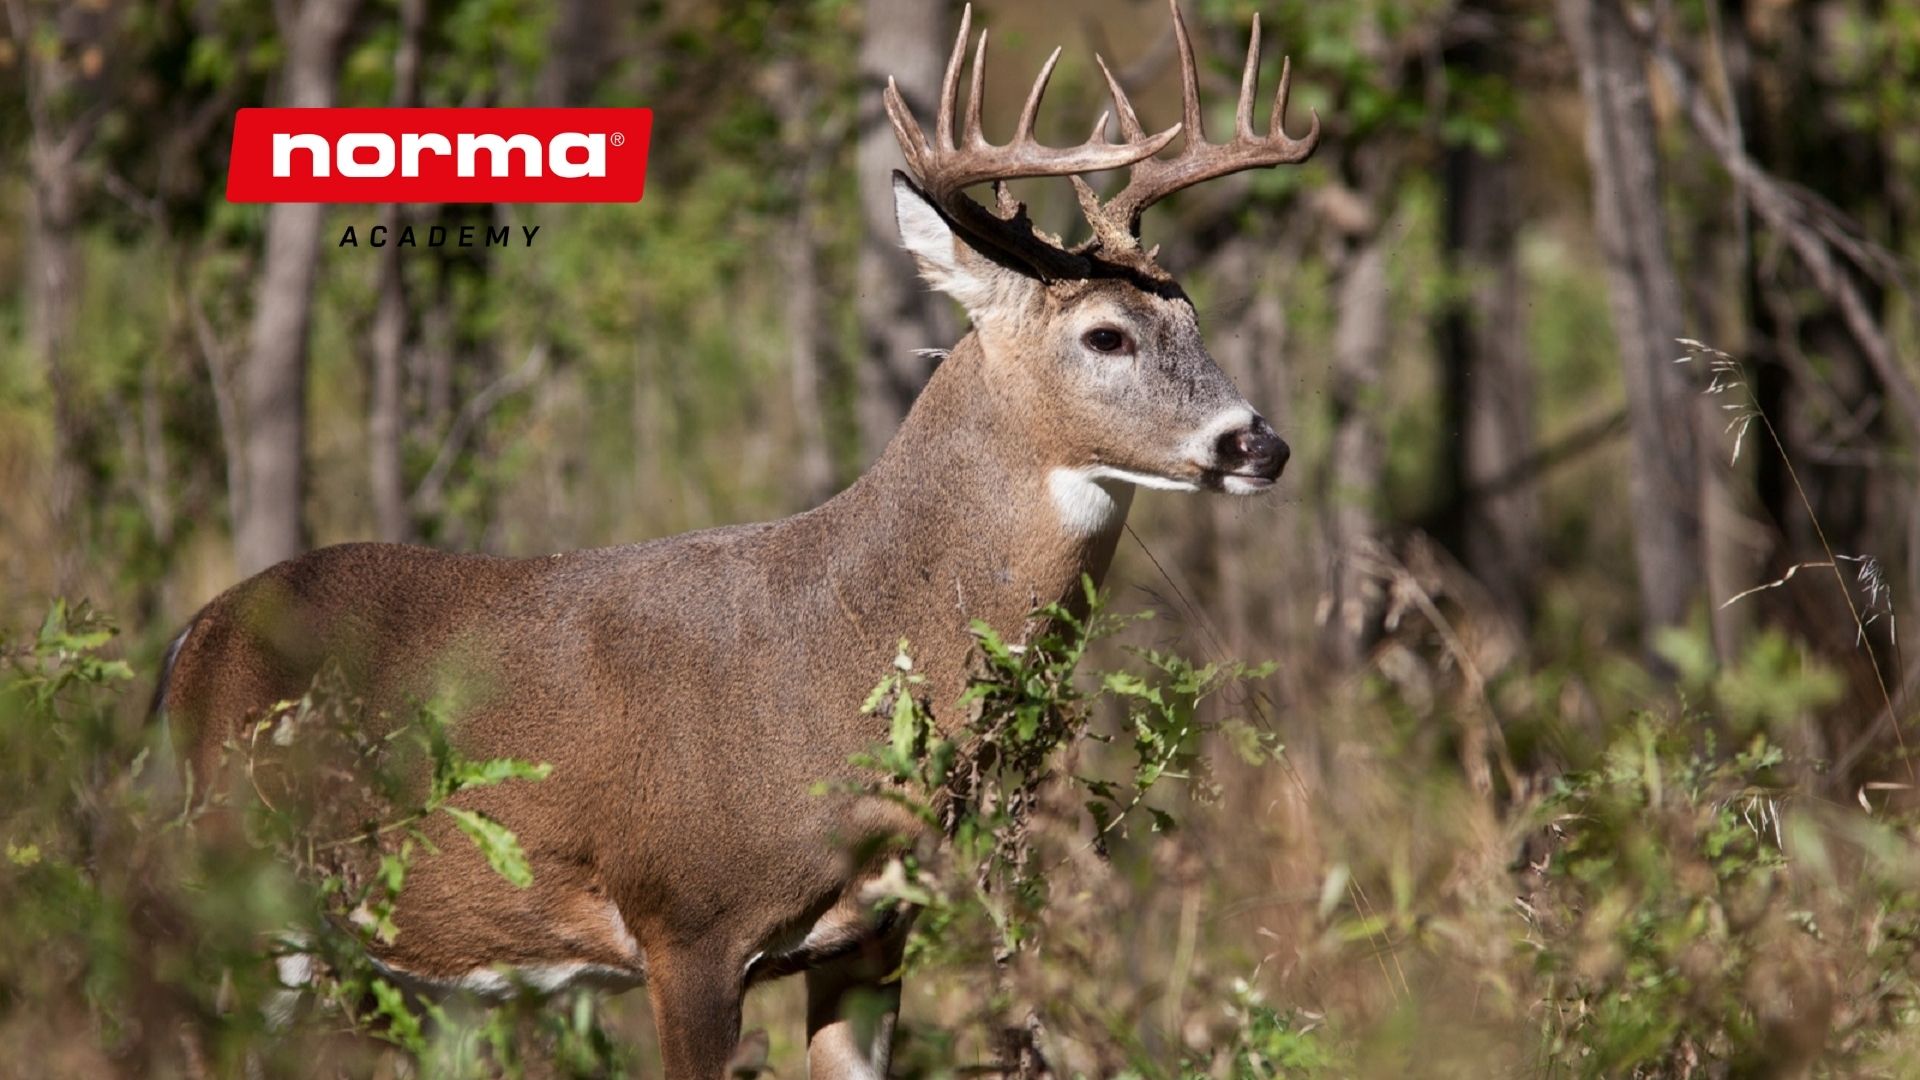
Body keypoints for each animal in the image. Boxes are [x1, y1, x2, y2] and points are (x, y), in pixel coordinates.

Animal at [153, 6, 1320, 1068]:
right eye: (1106, 335)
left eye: (1196, 320)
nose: (1261, 444)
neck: (844, 641)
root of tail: (190, 641)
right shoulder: (689, 922)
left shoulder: (870, 939)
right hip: (240, 884)